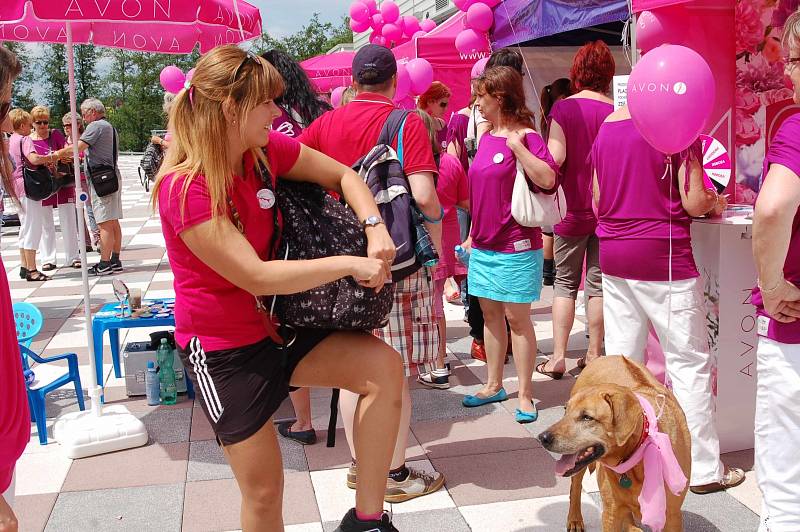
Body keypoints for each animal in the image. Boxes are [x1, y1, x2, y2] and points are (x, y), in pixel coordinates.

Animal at [540, 354, 692, 532]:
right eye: (566, 410)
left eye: (587, 417)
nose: (543, 437)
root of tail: (605, 356)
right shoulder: (611, 513)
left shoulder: (672, 516)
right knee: (575, 488)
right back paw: (575, 519)